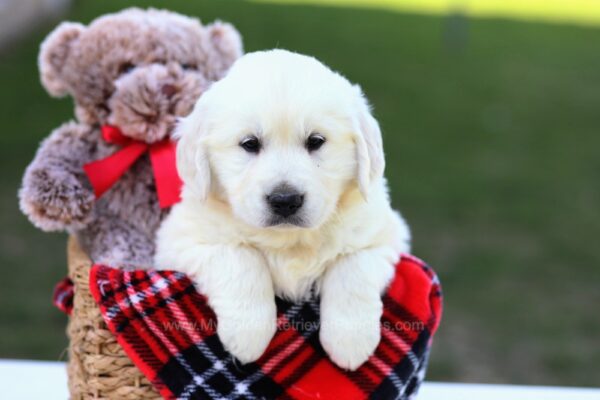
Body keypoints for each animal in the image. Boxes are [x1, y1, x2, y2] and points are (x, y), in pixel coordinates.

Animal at [152, 50, 410, 372]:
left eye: (316, 141)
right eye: (250, 143)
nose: (285, 200)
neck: (290, 241)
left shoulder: (385, 234)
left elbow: (352, 267)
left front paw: (350, 340)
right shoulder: (182, 239)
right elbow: (241, 257)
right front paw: (248, 333)